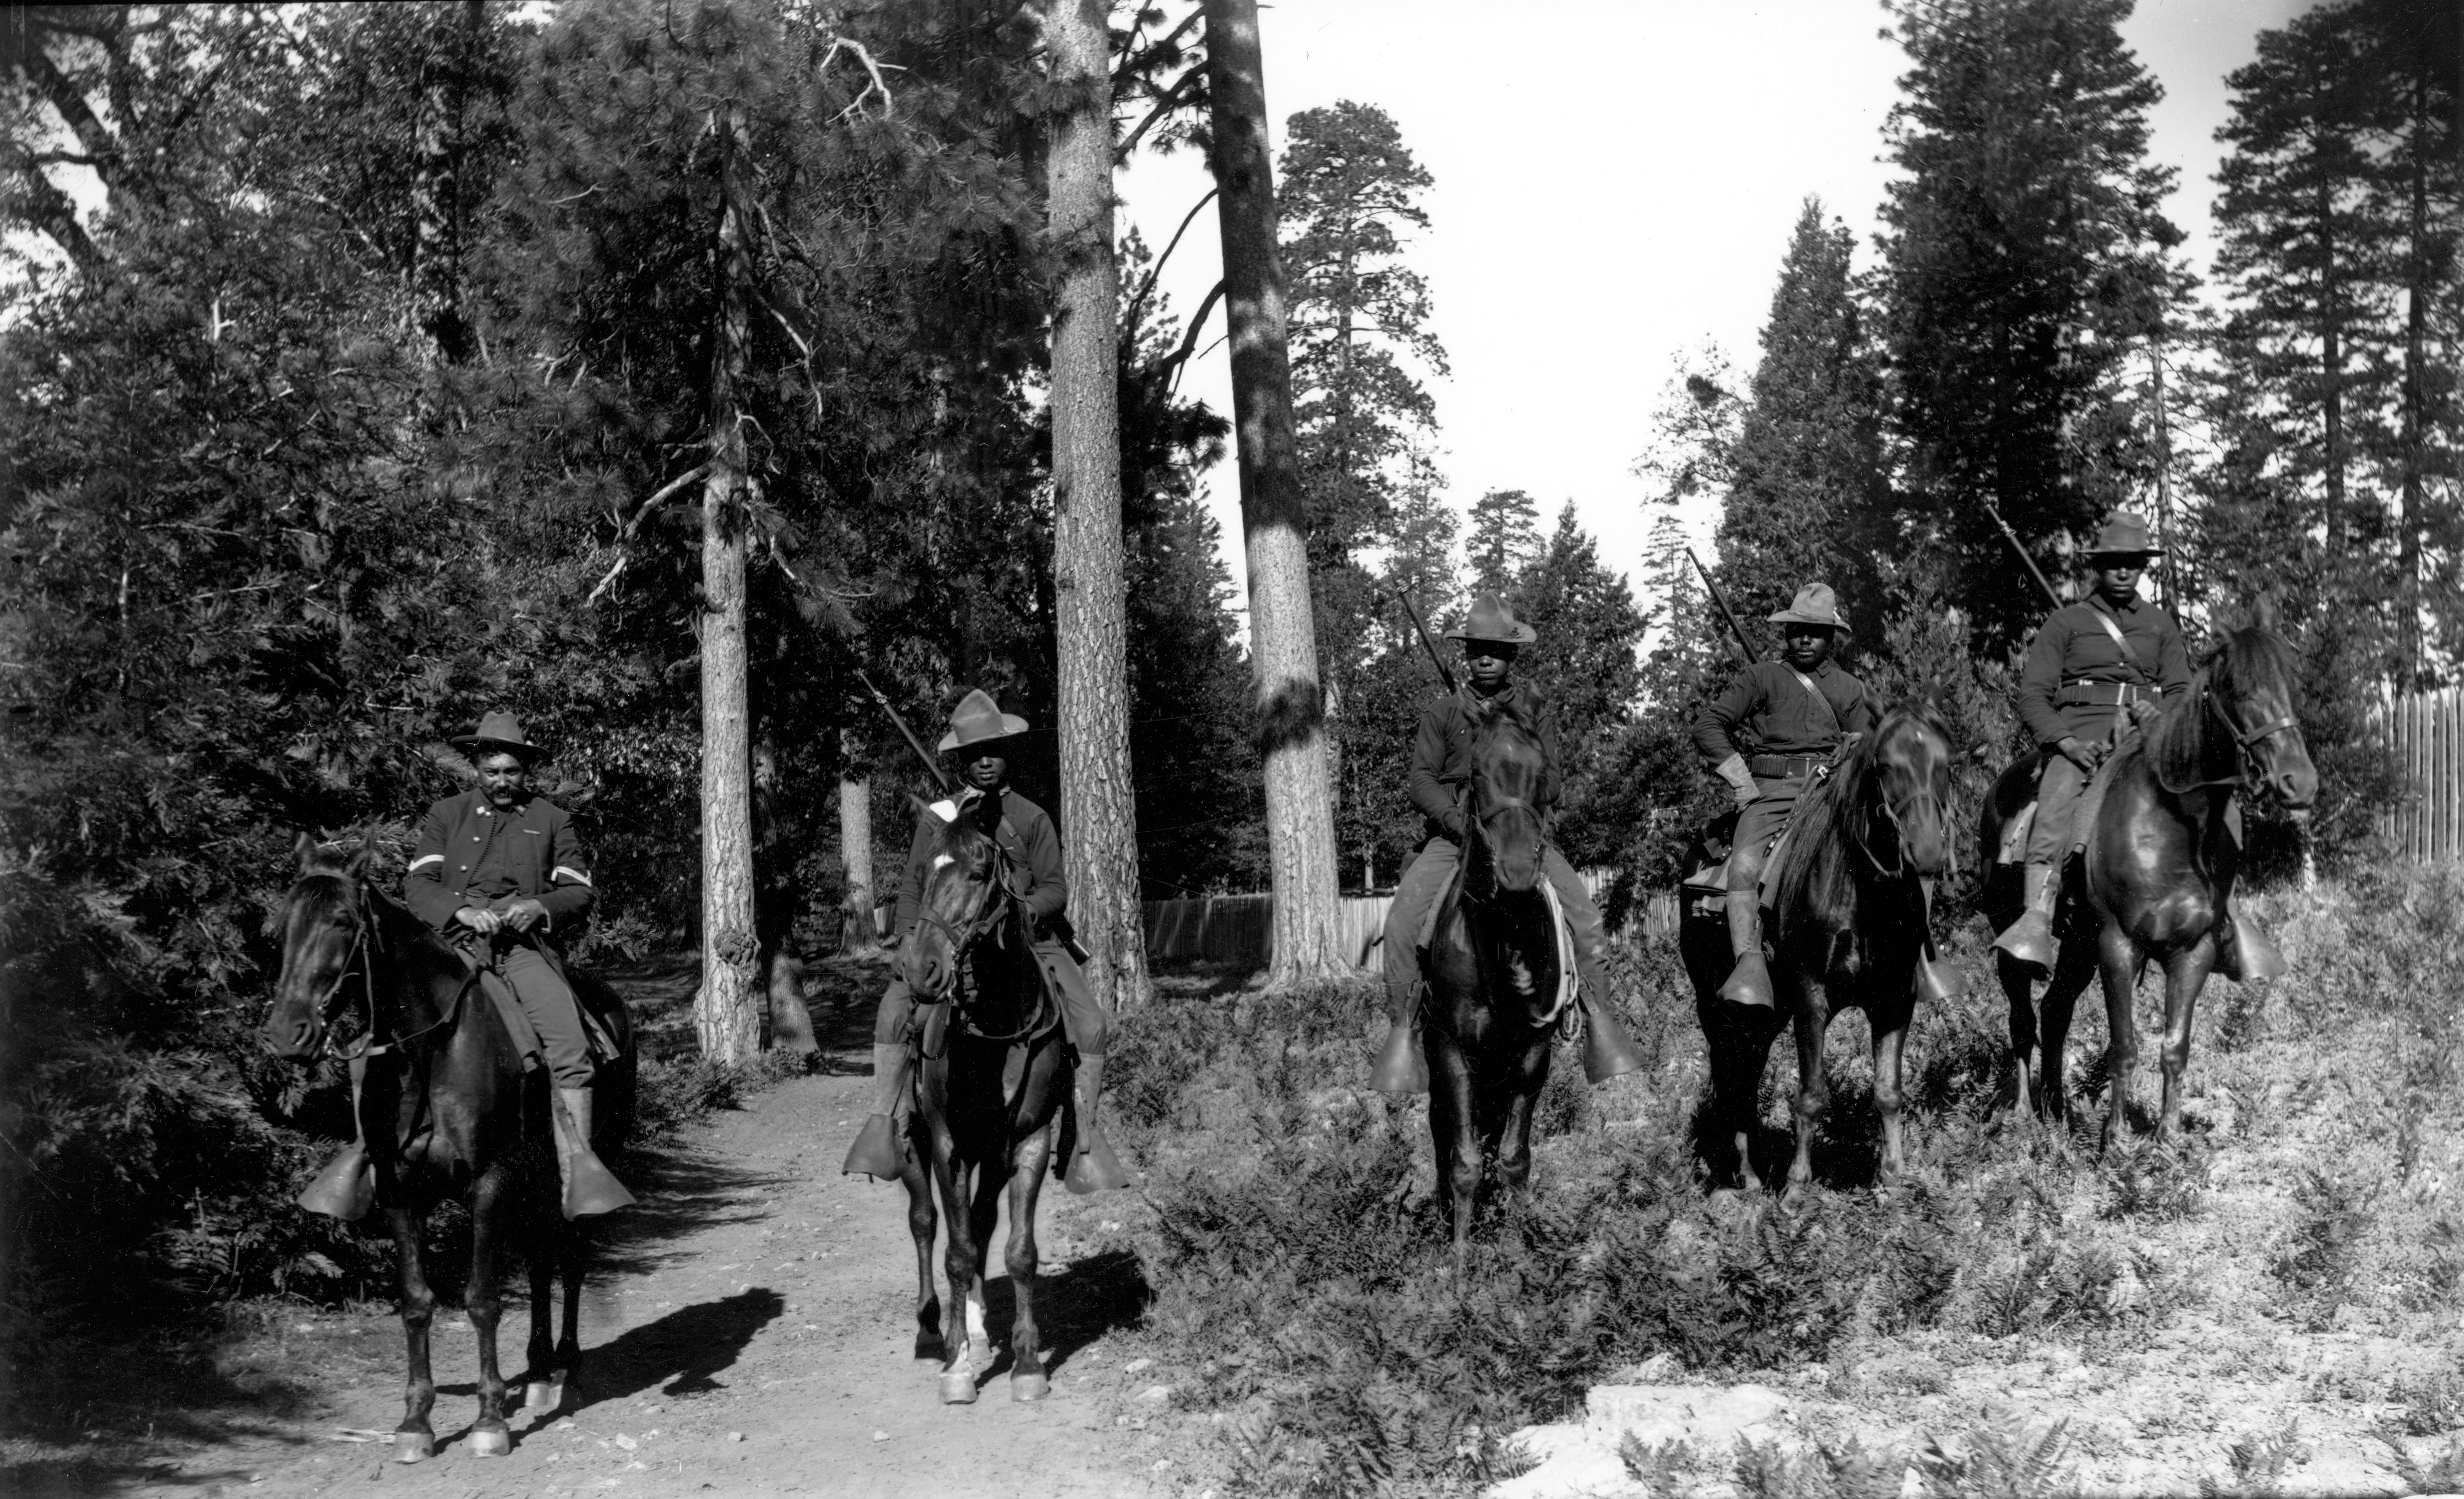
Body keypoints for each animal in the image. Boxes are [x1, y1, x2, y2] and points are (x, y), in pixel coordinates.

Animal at [262, 843, 635, 1459]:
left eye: (341, 921)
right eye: (282, 923)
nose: (287, 1033)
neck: (432, 1052)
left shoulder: (488, 1184)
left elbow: (481, 1298)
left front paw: (488, 1420)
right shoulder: (399, 1191)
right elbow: (417, 1301)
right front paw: (416, 1421)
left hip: (585, 1161)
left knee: (573, 1256)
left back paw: (567, 1368)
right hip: (533, 1182)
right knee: (540, 1262)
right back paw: (538, 1373)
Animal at [896, 808, 1069, 1400]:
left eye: (977, 873)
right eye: (922, 870)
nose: (921, 970)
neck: (995, 1030)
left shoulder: (1030, 1139)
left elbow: (1017, 1251)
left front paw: (1027, 1363)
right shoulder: (947, 1143)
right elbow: (957, 1251)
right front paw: (957, 1366)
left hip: (991, 1157)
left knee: (980, 1219)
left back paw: (972, 1325)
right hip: (915, 1147)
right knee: (926, 1223)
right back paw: (934, 1330)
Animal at [1419, 695, 1567, 1257]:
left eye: (1541, 772)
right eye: (1477, 773)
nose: (1519, 873)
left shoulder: (1532, 1052)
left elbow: (1513, 1158)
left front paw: (1521, 1249)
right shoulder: (1452, 1050)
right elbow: (1462, 1163)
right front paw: (1460, 1265)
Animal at [1685, 710, 1951, 1198]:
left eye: (1945, 764)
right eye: (1884, 766)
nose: (1925, 850)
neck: (1861, 894)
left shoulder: (1893, 1000)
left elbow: (1888, 1091)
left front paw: (1892, 1180)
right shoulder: (1811, 997)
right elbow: (1811, 1095)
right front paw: (1795, 1189)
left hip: (1765, 1016)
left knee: (1746, 1073)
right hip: (1715, 1010)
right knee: (1731, 1077)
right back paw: (1745, 1175)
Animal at [1971, 621, 2316, 1149]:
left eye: (2294, 686)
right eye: (2239, 690)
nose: (2299, 782)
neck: (2170, 826)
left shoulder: (2192, 950)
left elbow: (2175, 1046)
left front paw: (2168, 1139)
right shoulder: (2118, 944)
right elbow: (2124, 1045)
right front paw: (2115, 1141)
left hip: (2078, 947)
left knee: (2055, 1011)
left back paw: (2058, 1111)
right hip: (2014, 934)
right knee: (2023, 1018)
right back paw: (2026, 1114)